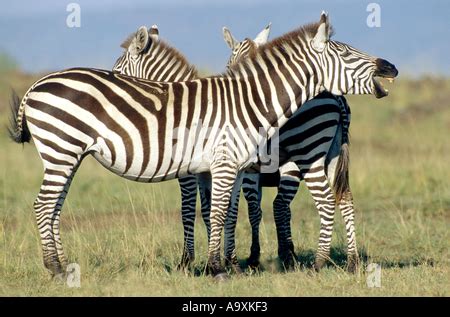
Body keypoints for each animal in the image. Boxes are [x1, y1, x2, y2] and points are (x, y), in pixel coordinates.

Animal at [9, 12, 398, 278]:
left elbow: (220, 212)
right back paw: (55, 268)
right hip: (62, 151)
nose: (391, 67)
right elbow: (215, 212)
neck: (249, 101)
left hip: (66, 154)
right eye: (347, 55)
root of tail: (36, 85)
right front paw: (216, 267)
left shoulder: (222, 168)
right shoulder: (218, 166)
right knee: (45, 205)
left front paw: (220, 264)